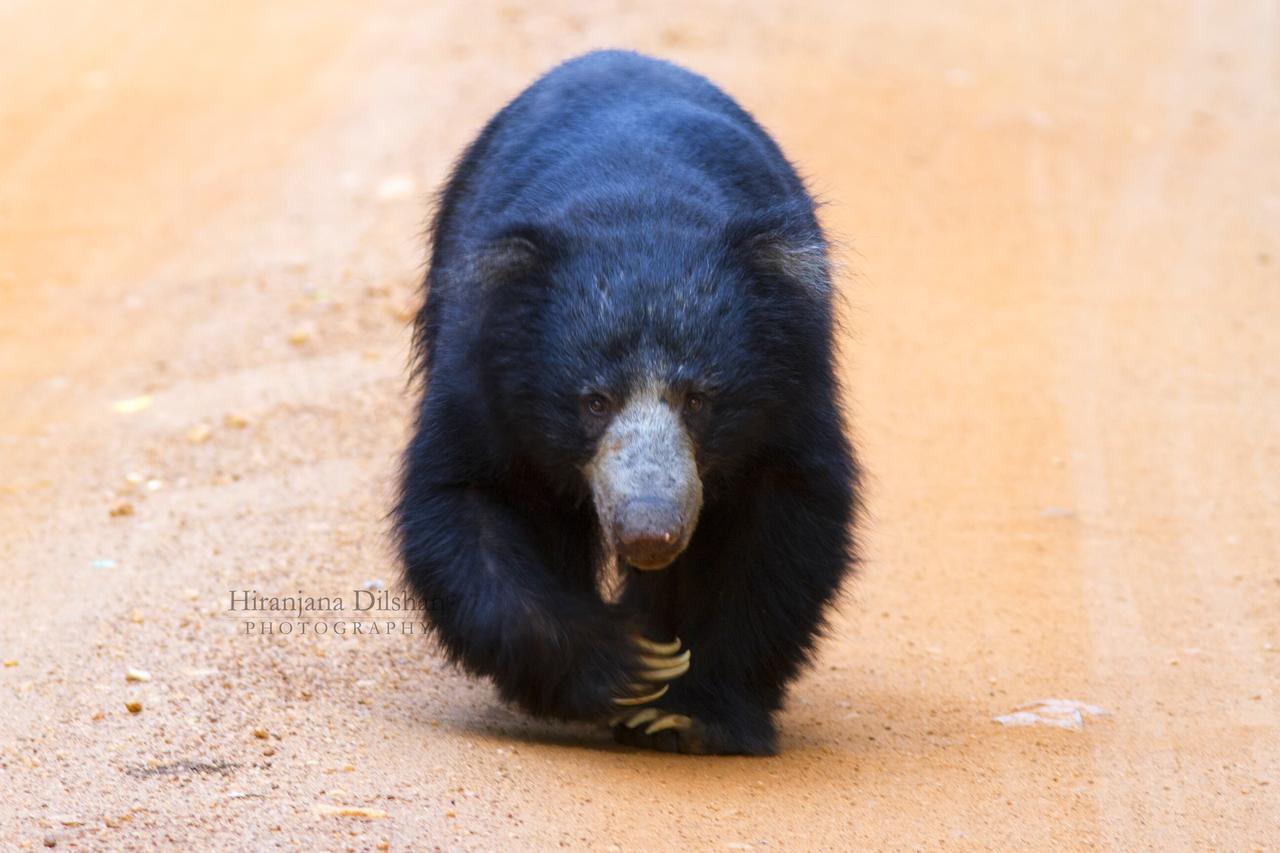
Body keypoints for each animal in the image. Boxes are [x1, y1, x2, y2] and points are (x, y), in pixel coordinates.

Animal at [396, 49, 860, 753]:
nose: (648, 532)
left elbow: (781, 528)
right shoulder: (483, 371)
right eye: (594, 401)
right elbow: (466, 504)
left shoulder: (792, 384)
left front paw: (688, 713)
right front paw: (632, 663)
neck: (639, 208)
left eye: (698, 399)